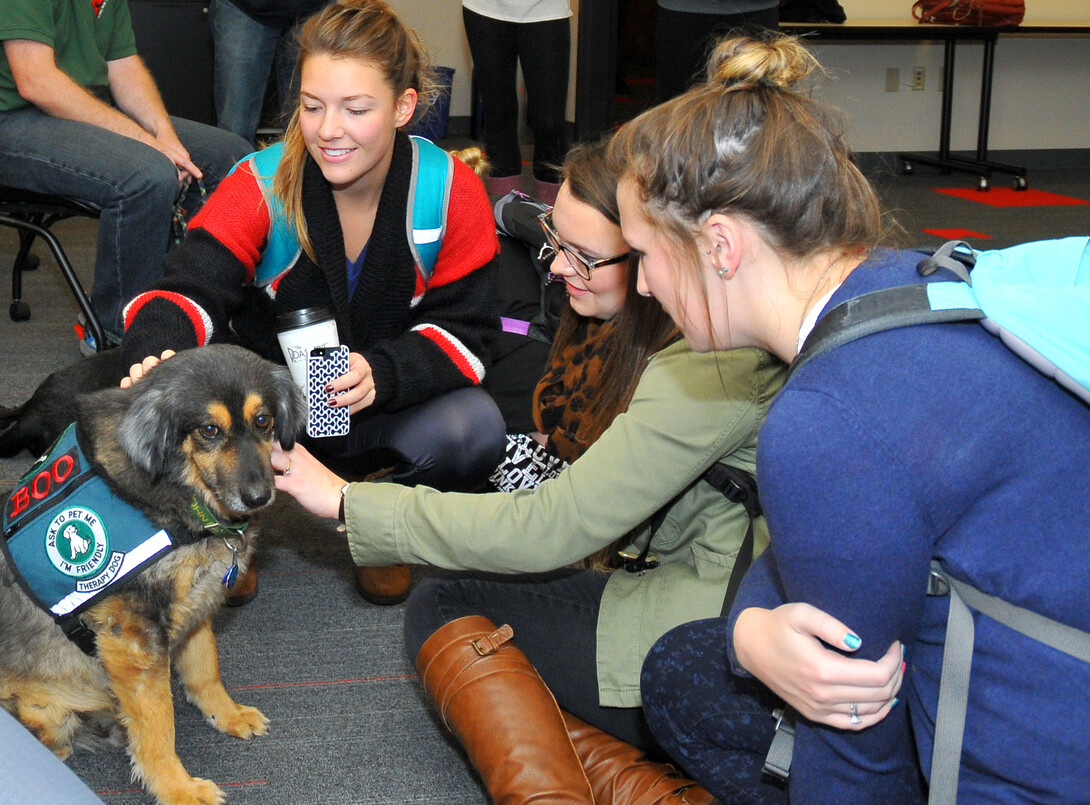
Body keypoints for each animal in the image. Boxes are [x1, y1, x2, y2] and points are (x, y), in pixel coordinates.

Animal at [1, 346, 303, 805]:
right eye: (209, 429)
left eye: (264, 420)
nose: (259, 496)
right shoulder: (135, 639)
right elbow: (159, 725)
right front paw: (178, 788)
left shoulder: (195, 605)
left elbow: (205, 668)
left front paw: (226, 714)